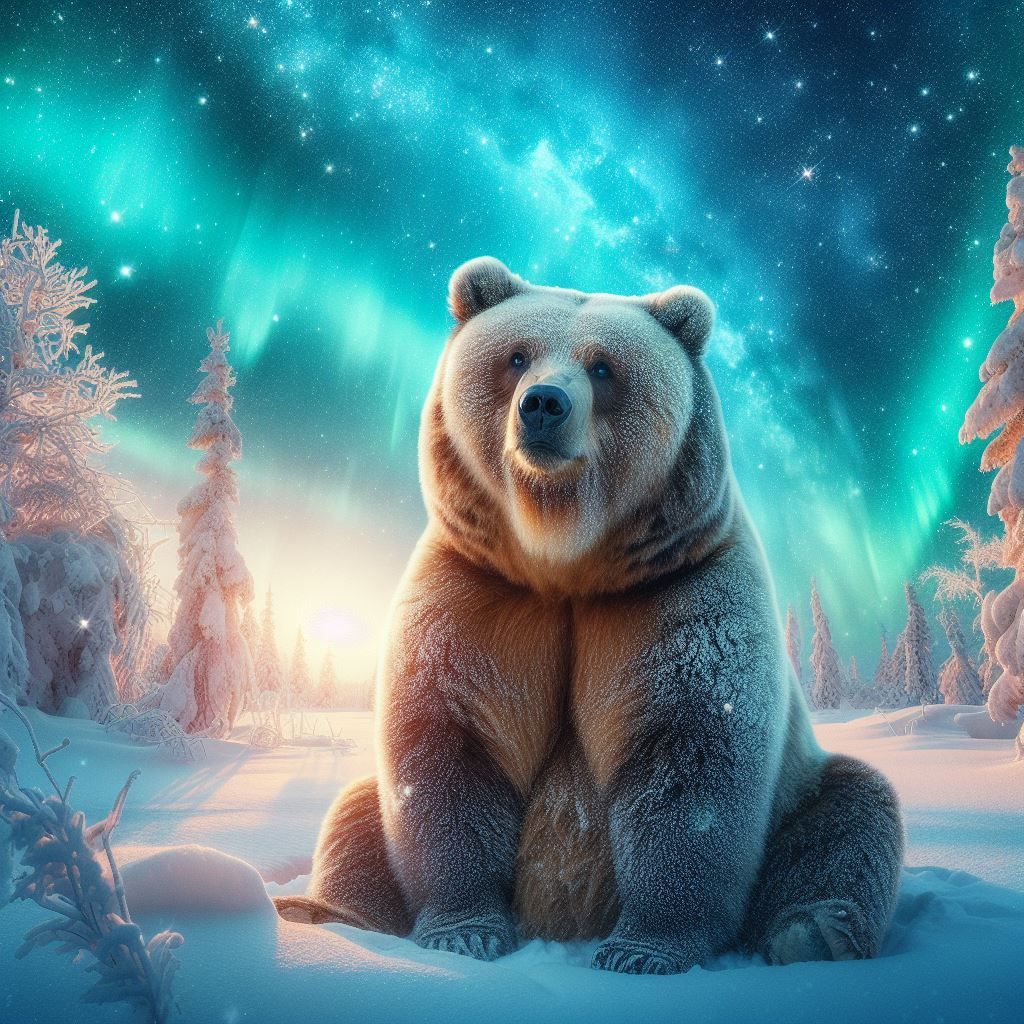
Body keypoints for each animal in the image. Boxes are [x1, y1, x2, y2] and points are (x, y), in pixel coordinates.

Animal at [275, 257, 904, 974]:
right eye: (516, 356)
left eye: (604, 366)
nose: (544, 404)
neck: (566, 563)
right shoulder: (479, 597)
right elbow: (449, 746)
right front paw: (464, 932)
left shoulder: (679, 595)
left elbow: (690, 757)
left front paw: (645, 948)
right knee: (354, 812)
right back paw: (322, 913)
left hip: (798, 794)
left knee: (851, 812)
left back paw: (814, 933)